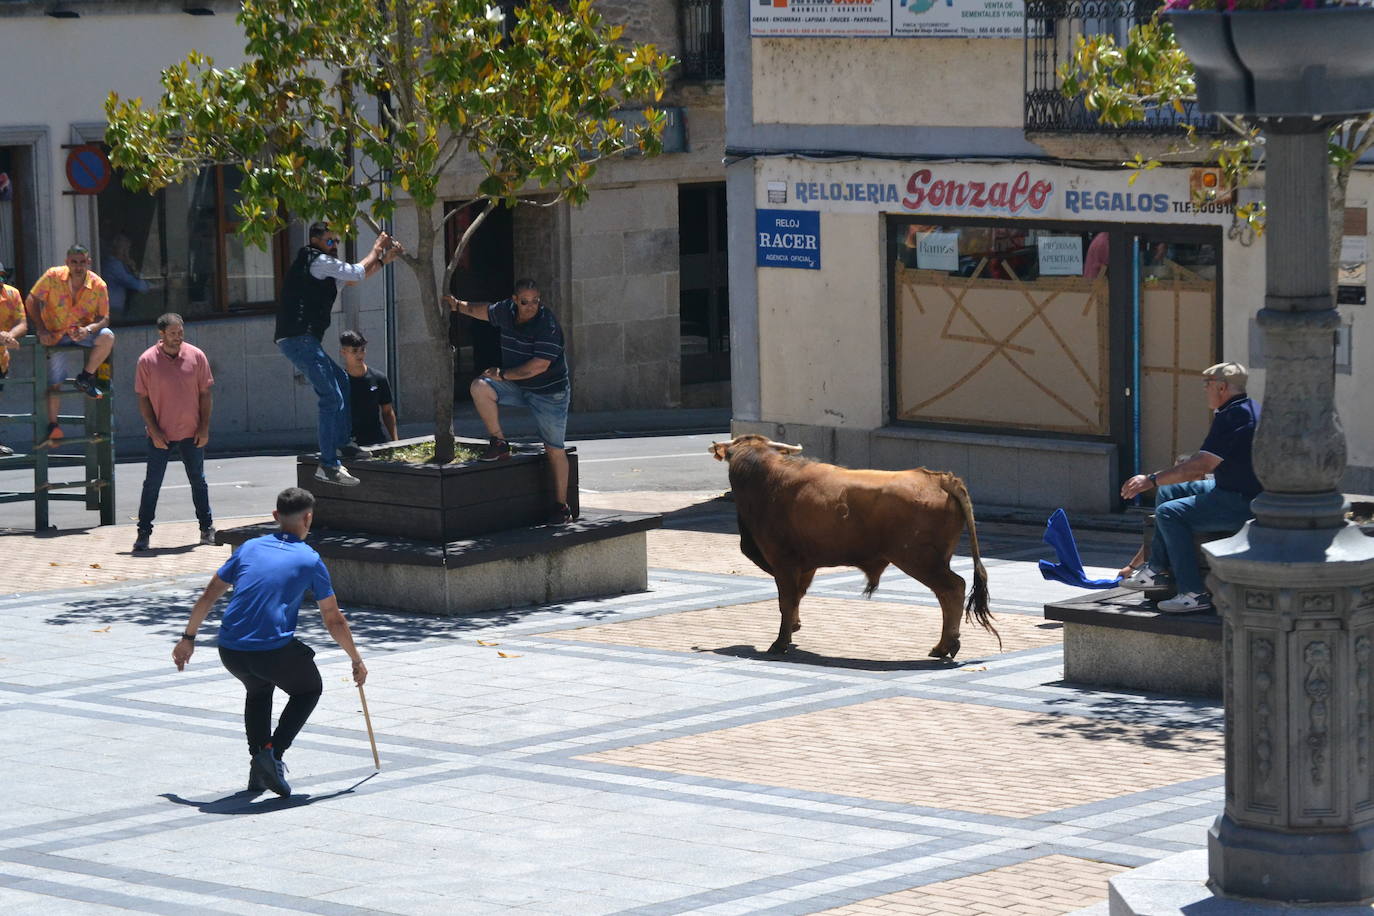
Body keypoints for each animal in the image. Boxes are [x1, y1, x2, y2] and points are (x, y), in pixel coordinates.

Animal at [708, 436, 1000, 659]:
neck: (766, 478)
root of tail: (939, 478)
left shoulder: (783, 561)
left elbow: (786, 600)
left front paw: (780, 642)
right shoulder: (805, 564)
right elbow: (797, 597)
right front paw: (793, 628)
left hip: (921, 560)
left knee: (952, 589)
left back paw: (945, 645)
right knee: (947, 593)